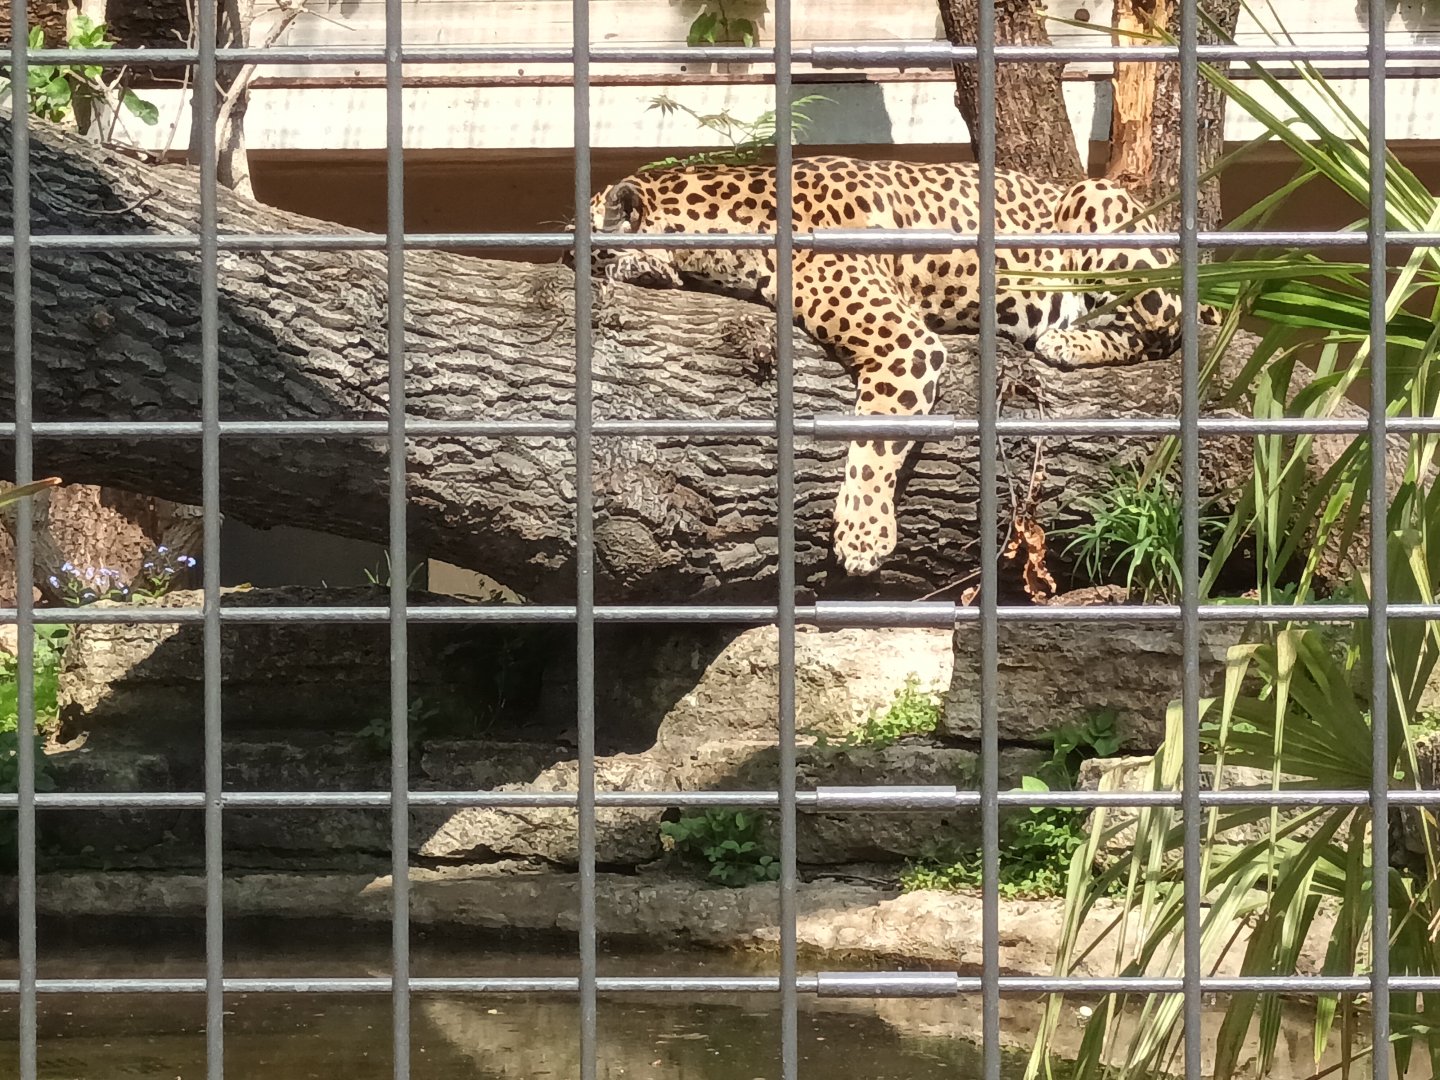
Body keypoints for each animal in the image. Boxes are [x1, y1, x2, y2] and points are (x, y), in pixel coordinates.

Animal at [582, 155, 1215, 578]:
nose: (569, 263)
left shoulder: (905, 345)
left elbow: (875, 435)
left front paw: (862, 533)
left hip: (1098, 206)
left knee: (1167, 328)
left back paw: (1069, 340)